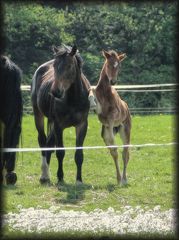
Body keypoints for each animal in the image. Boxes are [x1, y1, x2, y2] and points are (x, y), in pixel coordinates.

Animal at [31, 44, 91, 186]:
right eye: (54, 66)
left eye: (69, 66)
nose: (55, 92)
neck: (74, 98)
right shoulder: (59, 126)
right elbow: (60, 152)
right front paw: (60, 177)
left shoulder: (82, 125)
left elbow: (79, 154)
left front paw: (79, 180)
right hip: (38, 115)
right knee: (43, 142)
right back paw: (44, 176)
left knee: (49, 143)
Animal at [93, 50, 131, 186]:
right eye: (109, 64)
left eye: (119, 66)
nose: (113, 81)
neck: (105, 93)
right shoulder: (102, 119)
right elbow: (113, 149)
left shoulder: (112, 117)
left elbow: (116, 148)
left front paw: (121, 179)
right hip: (106, 132)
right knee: (113, 150)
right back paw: (120, 178)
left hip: (125, 130)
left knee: (125, 152)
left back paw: (124, 179)